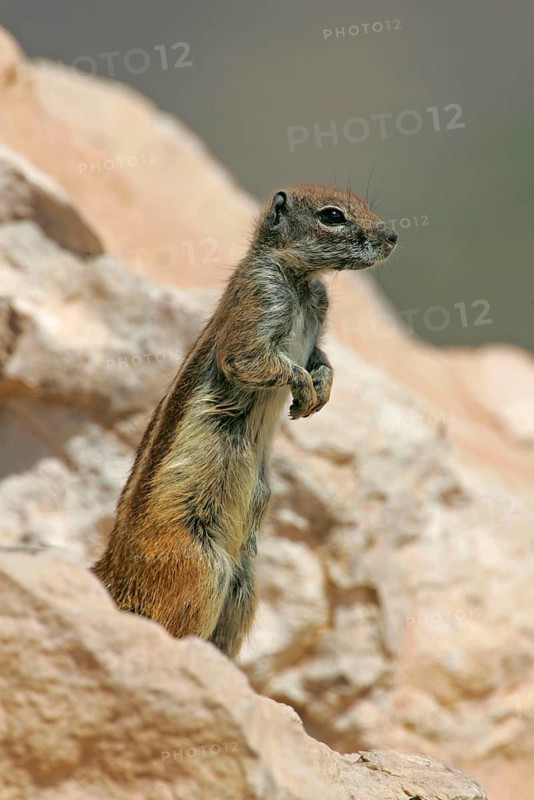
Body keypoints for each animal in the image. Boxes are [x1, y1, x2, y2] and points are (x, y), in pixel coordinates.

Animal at [92, 185, 397, 658]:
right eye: (332, 216)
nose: (392, 236)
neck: (301, 282)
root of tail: (114, 572)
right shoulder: (258, 302)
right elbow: (251, 358)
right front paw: (303, 386)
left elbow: (321, 357)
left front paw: (321, 389)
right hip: (202, 568)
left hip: (244, 586)